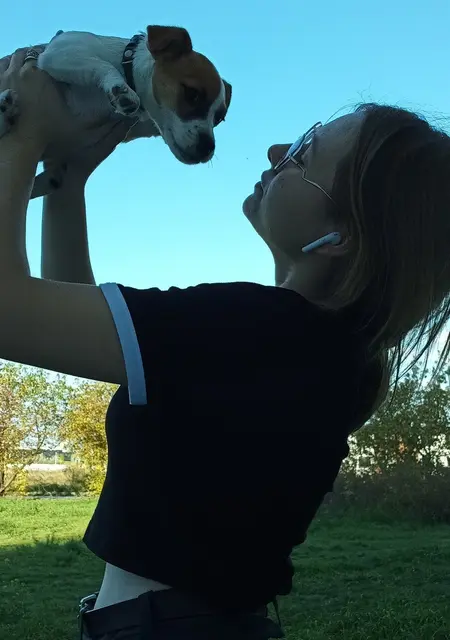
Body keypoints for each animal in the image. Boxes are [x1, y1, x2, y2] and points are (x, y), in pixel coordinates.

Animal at [0, 25, 232, 197]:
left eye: (219, 119)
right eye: (192, 93)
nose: (207, 147)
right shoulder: (63, 52)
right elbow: (101, 66)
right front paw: (120, 89)